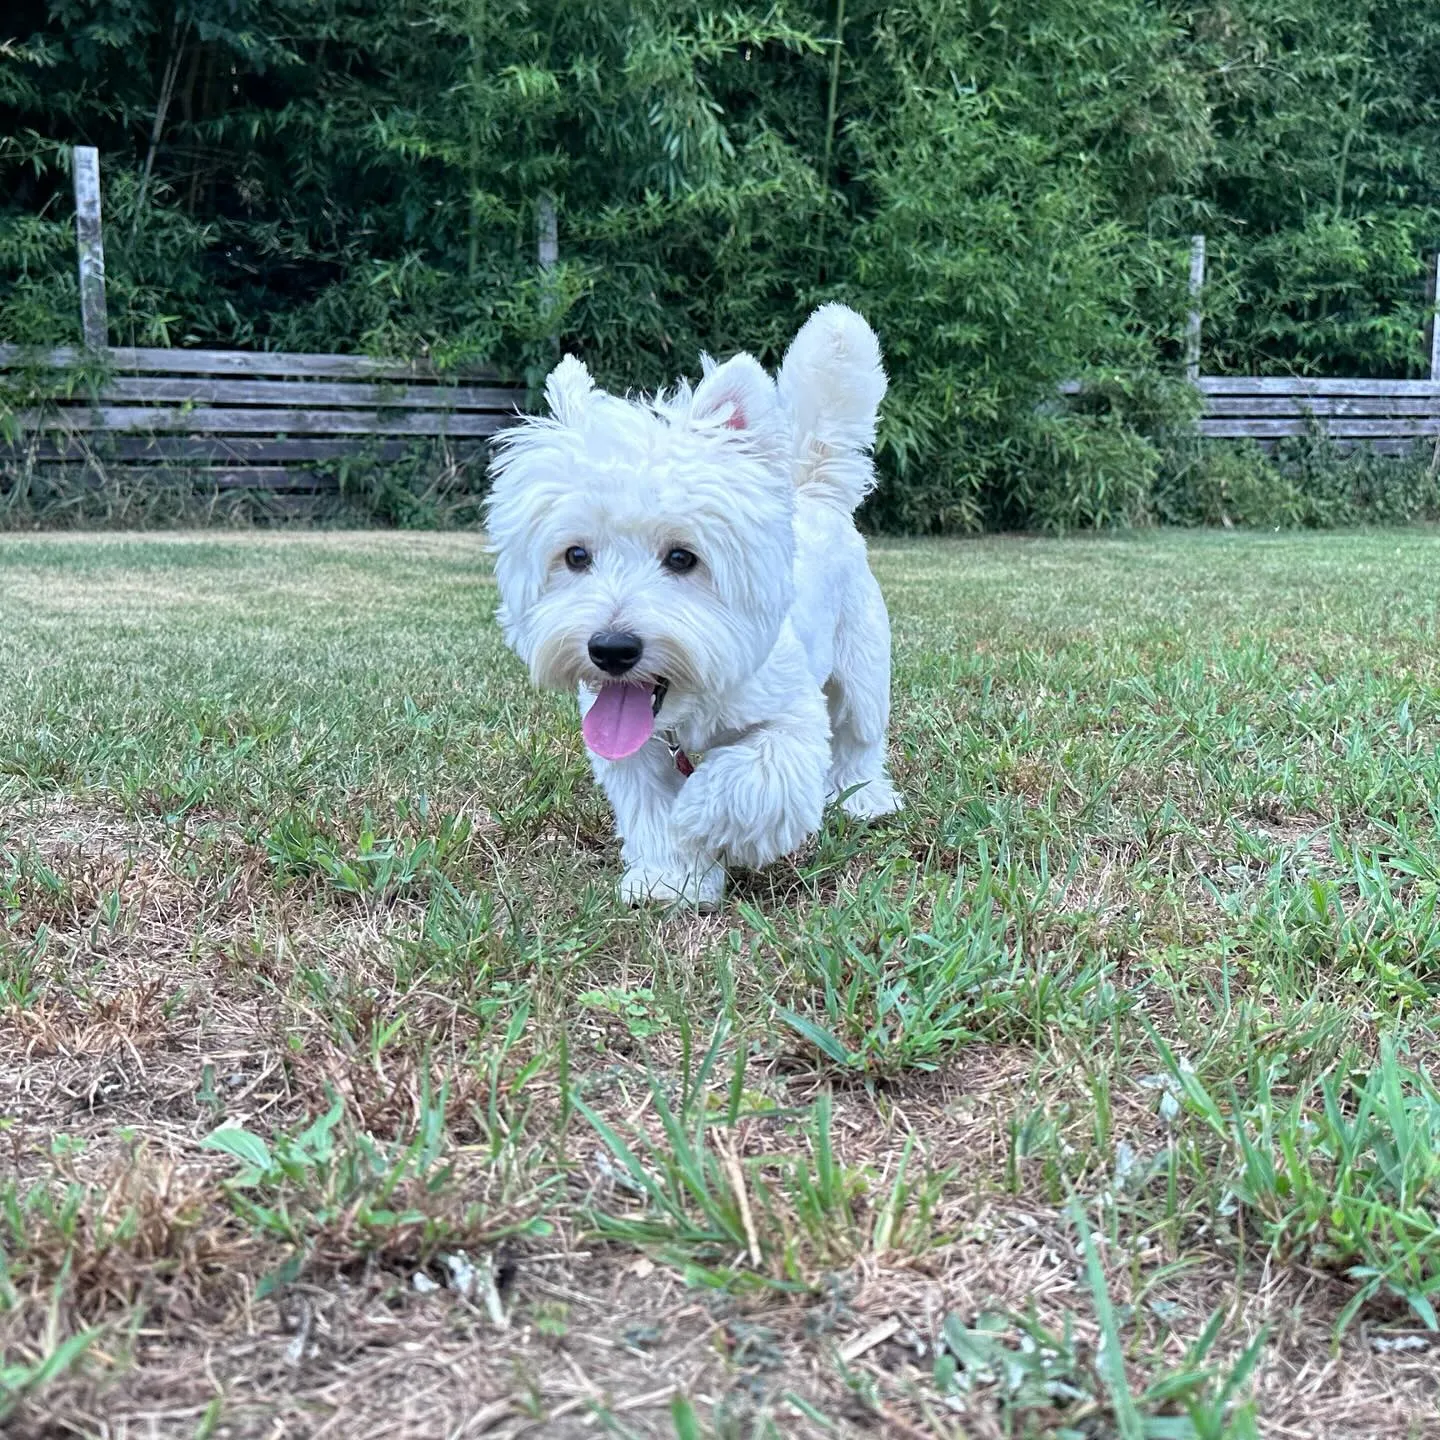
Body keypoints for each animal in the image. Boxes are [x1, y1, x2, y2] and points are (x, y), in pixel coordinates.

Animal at [483, 305, 898, 910]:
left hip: (862, 666)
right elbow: (651, 809)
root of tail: (814, 494)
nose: (611, 649)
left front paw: (701, 815)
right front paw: (669, 877)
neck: (689, 705)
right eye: (576, 555)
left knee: (859, 738)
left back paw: (864, 799)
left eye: (682, 557)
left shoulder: (791, 718)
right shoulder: (630, 752)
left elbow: (754, 777)